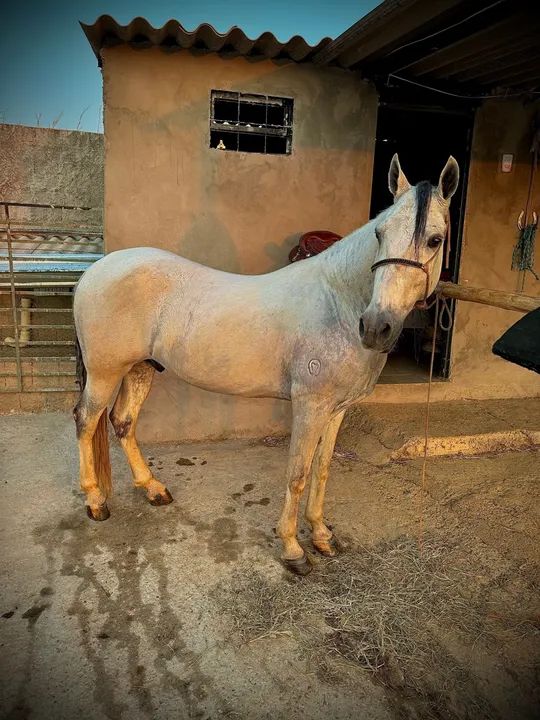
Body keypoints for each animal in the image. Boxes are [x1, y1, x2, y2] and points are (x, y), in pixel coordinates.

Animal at [73, 154, 459, 575]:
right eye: (379, 233)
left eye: (435, 239)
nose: (376, 327)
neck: (337, 302)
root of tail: (95, 271)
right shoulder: (310, 406)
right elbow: (298, 473)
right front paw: (293, 549)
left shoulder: (337, 409)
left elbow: (323, 470)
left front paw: (322, 536)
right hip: (105, 373)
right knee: (86, 420)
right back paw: (95, 501)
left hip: (141, 367)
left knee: (123, 422)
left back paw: (152, 489)